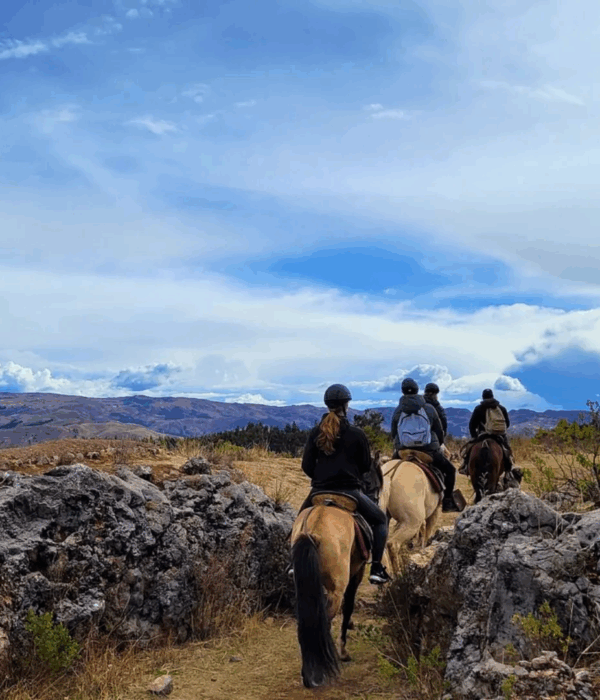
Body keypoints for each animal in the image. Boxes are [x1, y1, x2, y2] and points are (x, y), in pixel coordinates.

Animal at [290, 494, 368, 688]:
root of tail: (313, 530)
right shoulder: (357, 572)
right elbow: (348, 606)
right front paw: (344, 652)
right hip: (335, 591)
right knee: (325, 620)